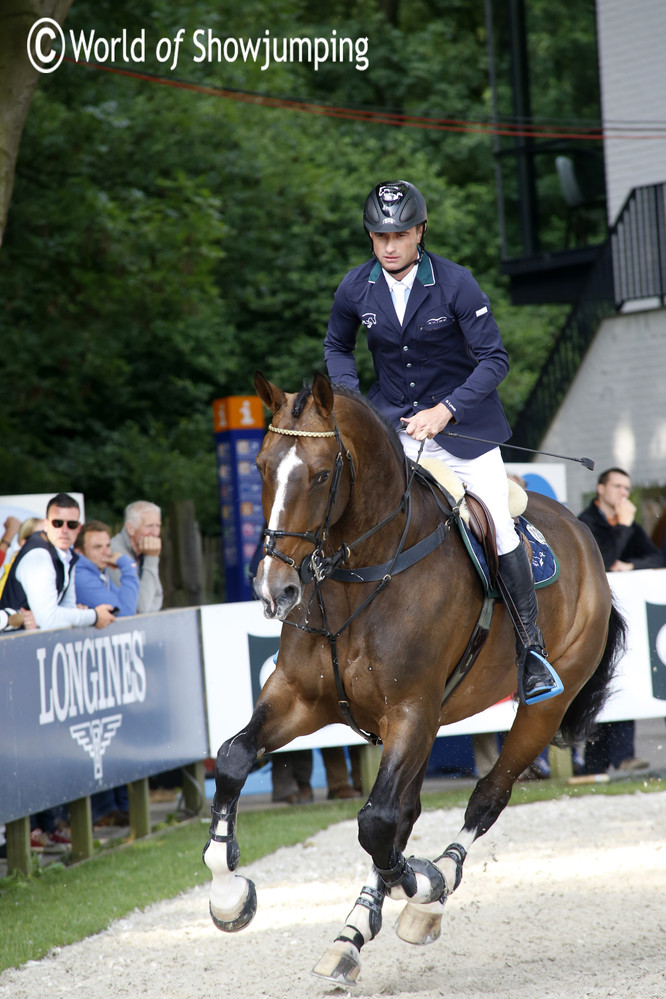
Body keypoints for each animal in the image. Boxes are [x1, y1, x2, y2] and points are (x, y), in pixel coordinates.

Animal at [202, 372, 624, 988]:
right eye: (260, 466)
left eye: (322, 474)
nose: (274, 589)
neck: (360, 575)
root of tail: (583, 533)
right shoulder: (299, 700)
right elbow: (235, 759)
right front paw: (229, 895)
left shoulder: (410, 710)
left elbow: (379, 823)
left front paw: (424, 883)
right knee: (405, 812)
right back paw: (350, 936)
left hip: (541, 707)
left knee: (485, 798)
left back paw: (429, 895)